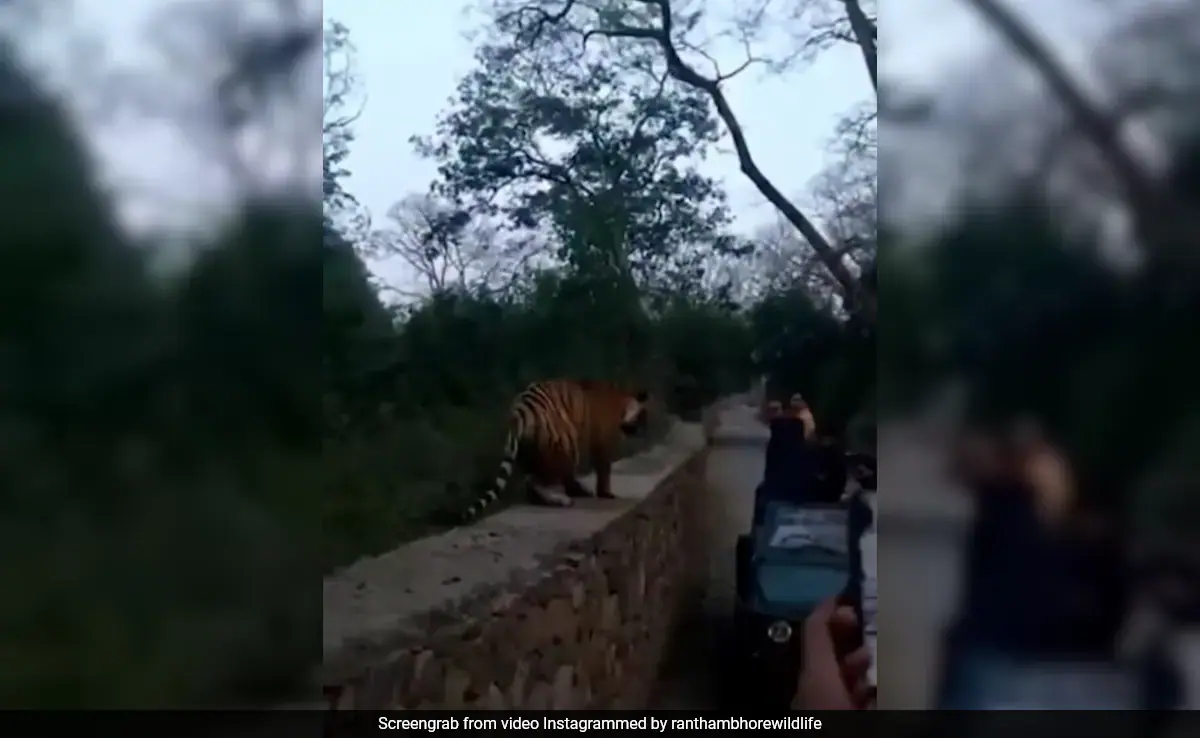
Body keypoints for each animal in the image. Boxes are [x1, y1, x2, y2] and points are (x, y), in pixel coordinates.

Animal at [460, 379, 652, 523]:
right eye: (643, 417)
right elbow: (604, 471)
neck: (621, 400)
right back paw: (563, 499)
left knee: (533, 480)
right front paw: (606, 494)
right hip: (567, 444)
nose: (644, 430)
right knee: (541, 480)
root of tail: (520, 408)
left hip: (531, 452)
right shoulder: (602, 444)